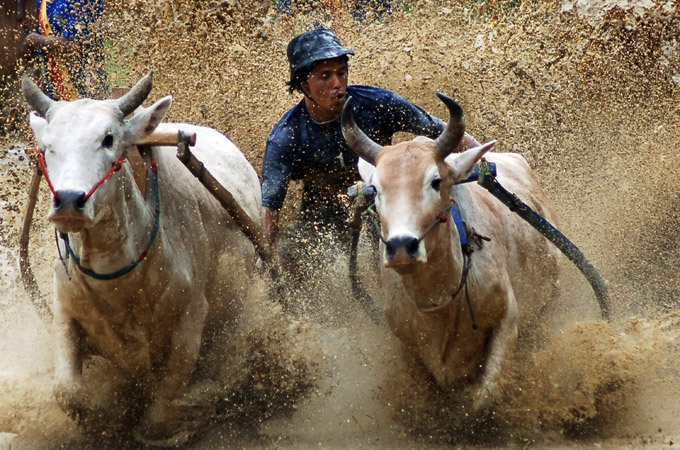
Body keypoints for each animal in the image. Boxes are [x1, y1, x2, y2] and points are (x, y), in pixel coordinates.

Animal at [22, 72, 262, 446]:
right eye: (48, 146)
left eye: (108, 139)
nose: (69, 201)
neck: (120, 283)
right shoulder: (65, 314)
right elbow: (68, 392)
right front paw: (104, 419)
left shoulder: (190, 323)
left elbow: (163, 409)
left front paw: (178, 422)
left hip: (233, 310)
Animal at [341, 93, 561, 411]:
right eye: (376, 189)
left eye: (436, 181)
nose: (401, 246)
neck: (438, 297)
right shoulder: (407, 351)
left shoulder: (507, 321)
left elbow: (485, 399)